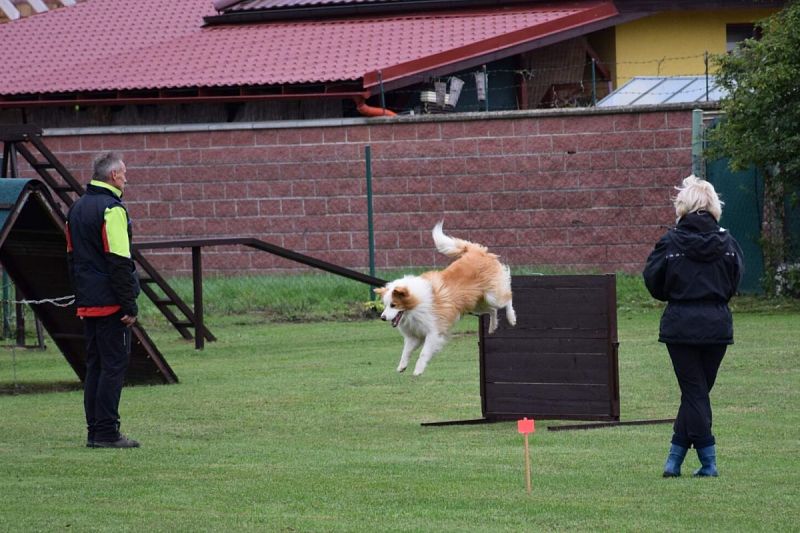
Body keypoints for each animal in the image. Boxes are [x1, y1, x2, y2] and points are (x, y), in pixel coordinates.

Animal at [376, 222, 516, 376]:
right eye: (385, 305)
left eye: (393, 305)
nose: (382, 318)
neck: (415, 304)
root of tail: (476, 252)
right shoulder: (415, 335)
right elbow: (406, 351)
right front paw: (402, 366)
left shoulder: (434, 332)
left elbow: (423, 353)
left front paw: (418, 371)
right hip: (476, 304)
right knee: (493, 310)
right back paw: (492, 327)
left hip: (492, 296)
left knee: (508, 297)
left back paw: (511, 318)